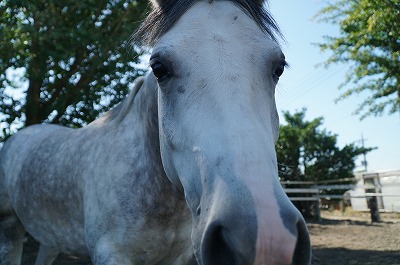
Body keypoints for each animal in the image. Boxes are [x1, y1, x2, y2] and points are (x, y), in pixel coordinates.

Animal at [0, 0, 312, 264]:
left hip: (50, 238)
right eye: (159, 67)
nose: (266, 240)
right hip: (10, 230)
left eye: (279, 66)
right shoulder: (111, 254)